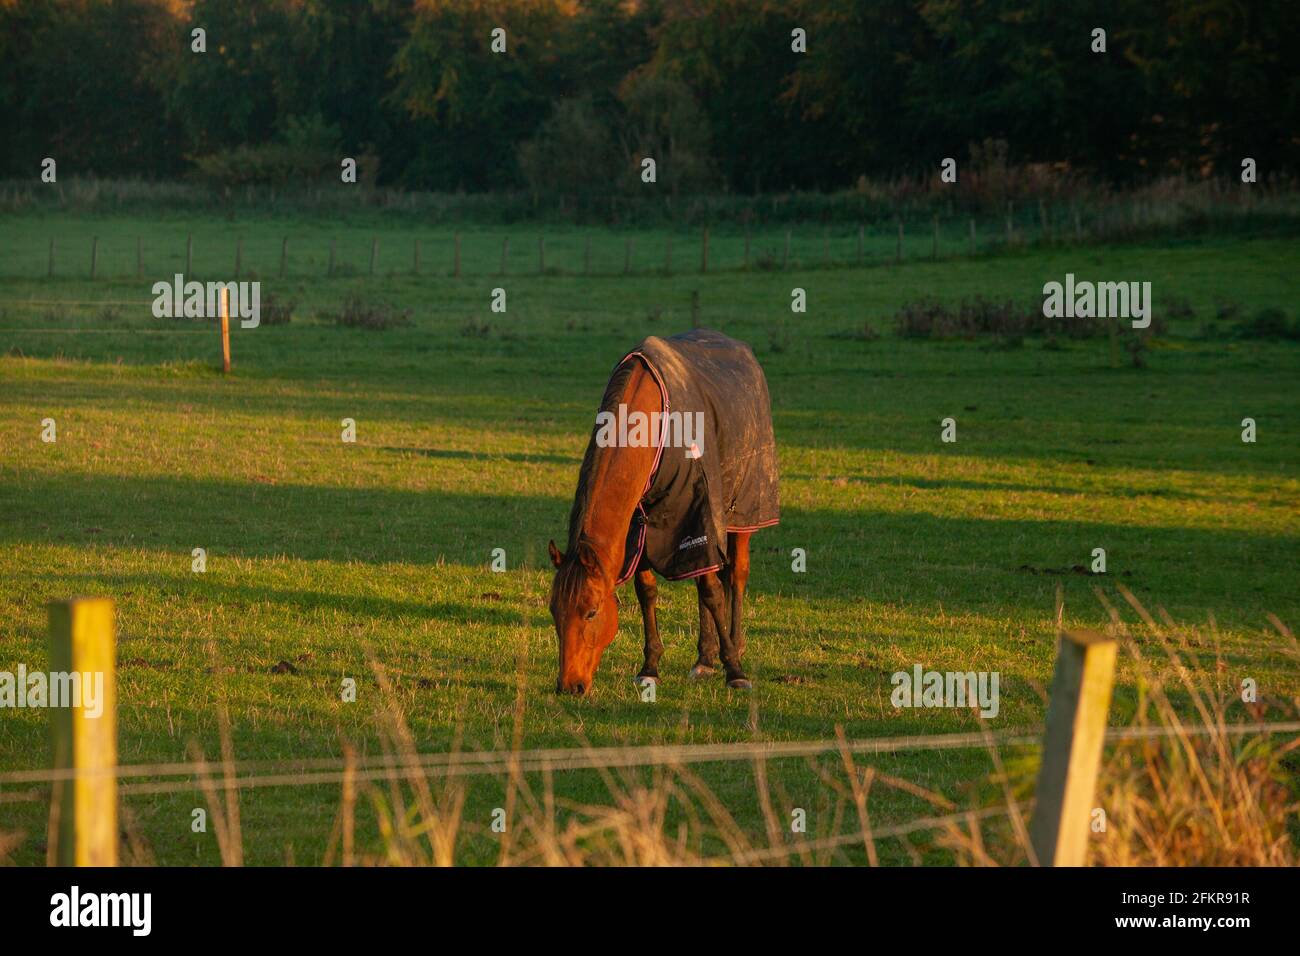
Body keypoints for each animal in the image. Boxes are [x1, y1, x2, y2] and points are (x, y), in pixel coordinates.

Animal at [548, 329, 780, 696]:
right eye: (554, 612)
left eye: (591, 612)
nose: (569, 686)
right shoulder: (638, 528)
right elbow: (648, 592)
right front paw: (650, 667)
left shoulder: (698, 513)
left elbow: (712, 592)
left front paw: (735, 670)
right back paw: (704, 660)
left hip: (741, 512)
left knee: (735, 575)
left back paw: (733, 646)